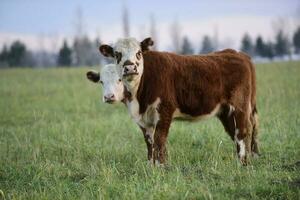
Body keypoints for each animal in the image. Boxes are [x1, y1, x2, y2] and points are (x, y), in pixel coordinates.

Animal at [98, 38, 258, 166]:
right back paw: (252, 157)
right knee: (240, 130)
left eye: (139, 53)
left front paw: (161, 166)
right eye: (117, 54)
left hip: (240, 105)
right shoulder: (143, 120)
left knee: (243, 131)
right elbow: (149, 142)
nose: (130, 67)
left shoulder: (164, 111)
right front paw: (150, 166)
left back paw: (242, 163)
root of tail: (238, 54)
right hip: (226, 111)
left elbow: (159, 140)